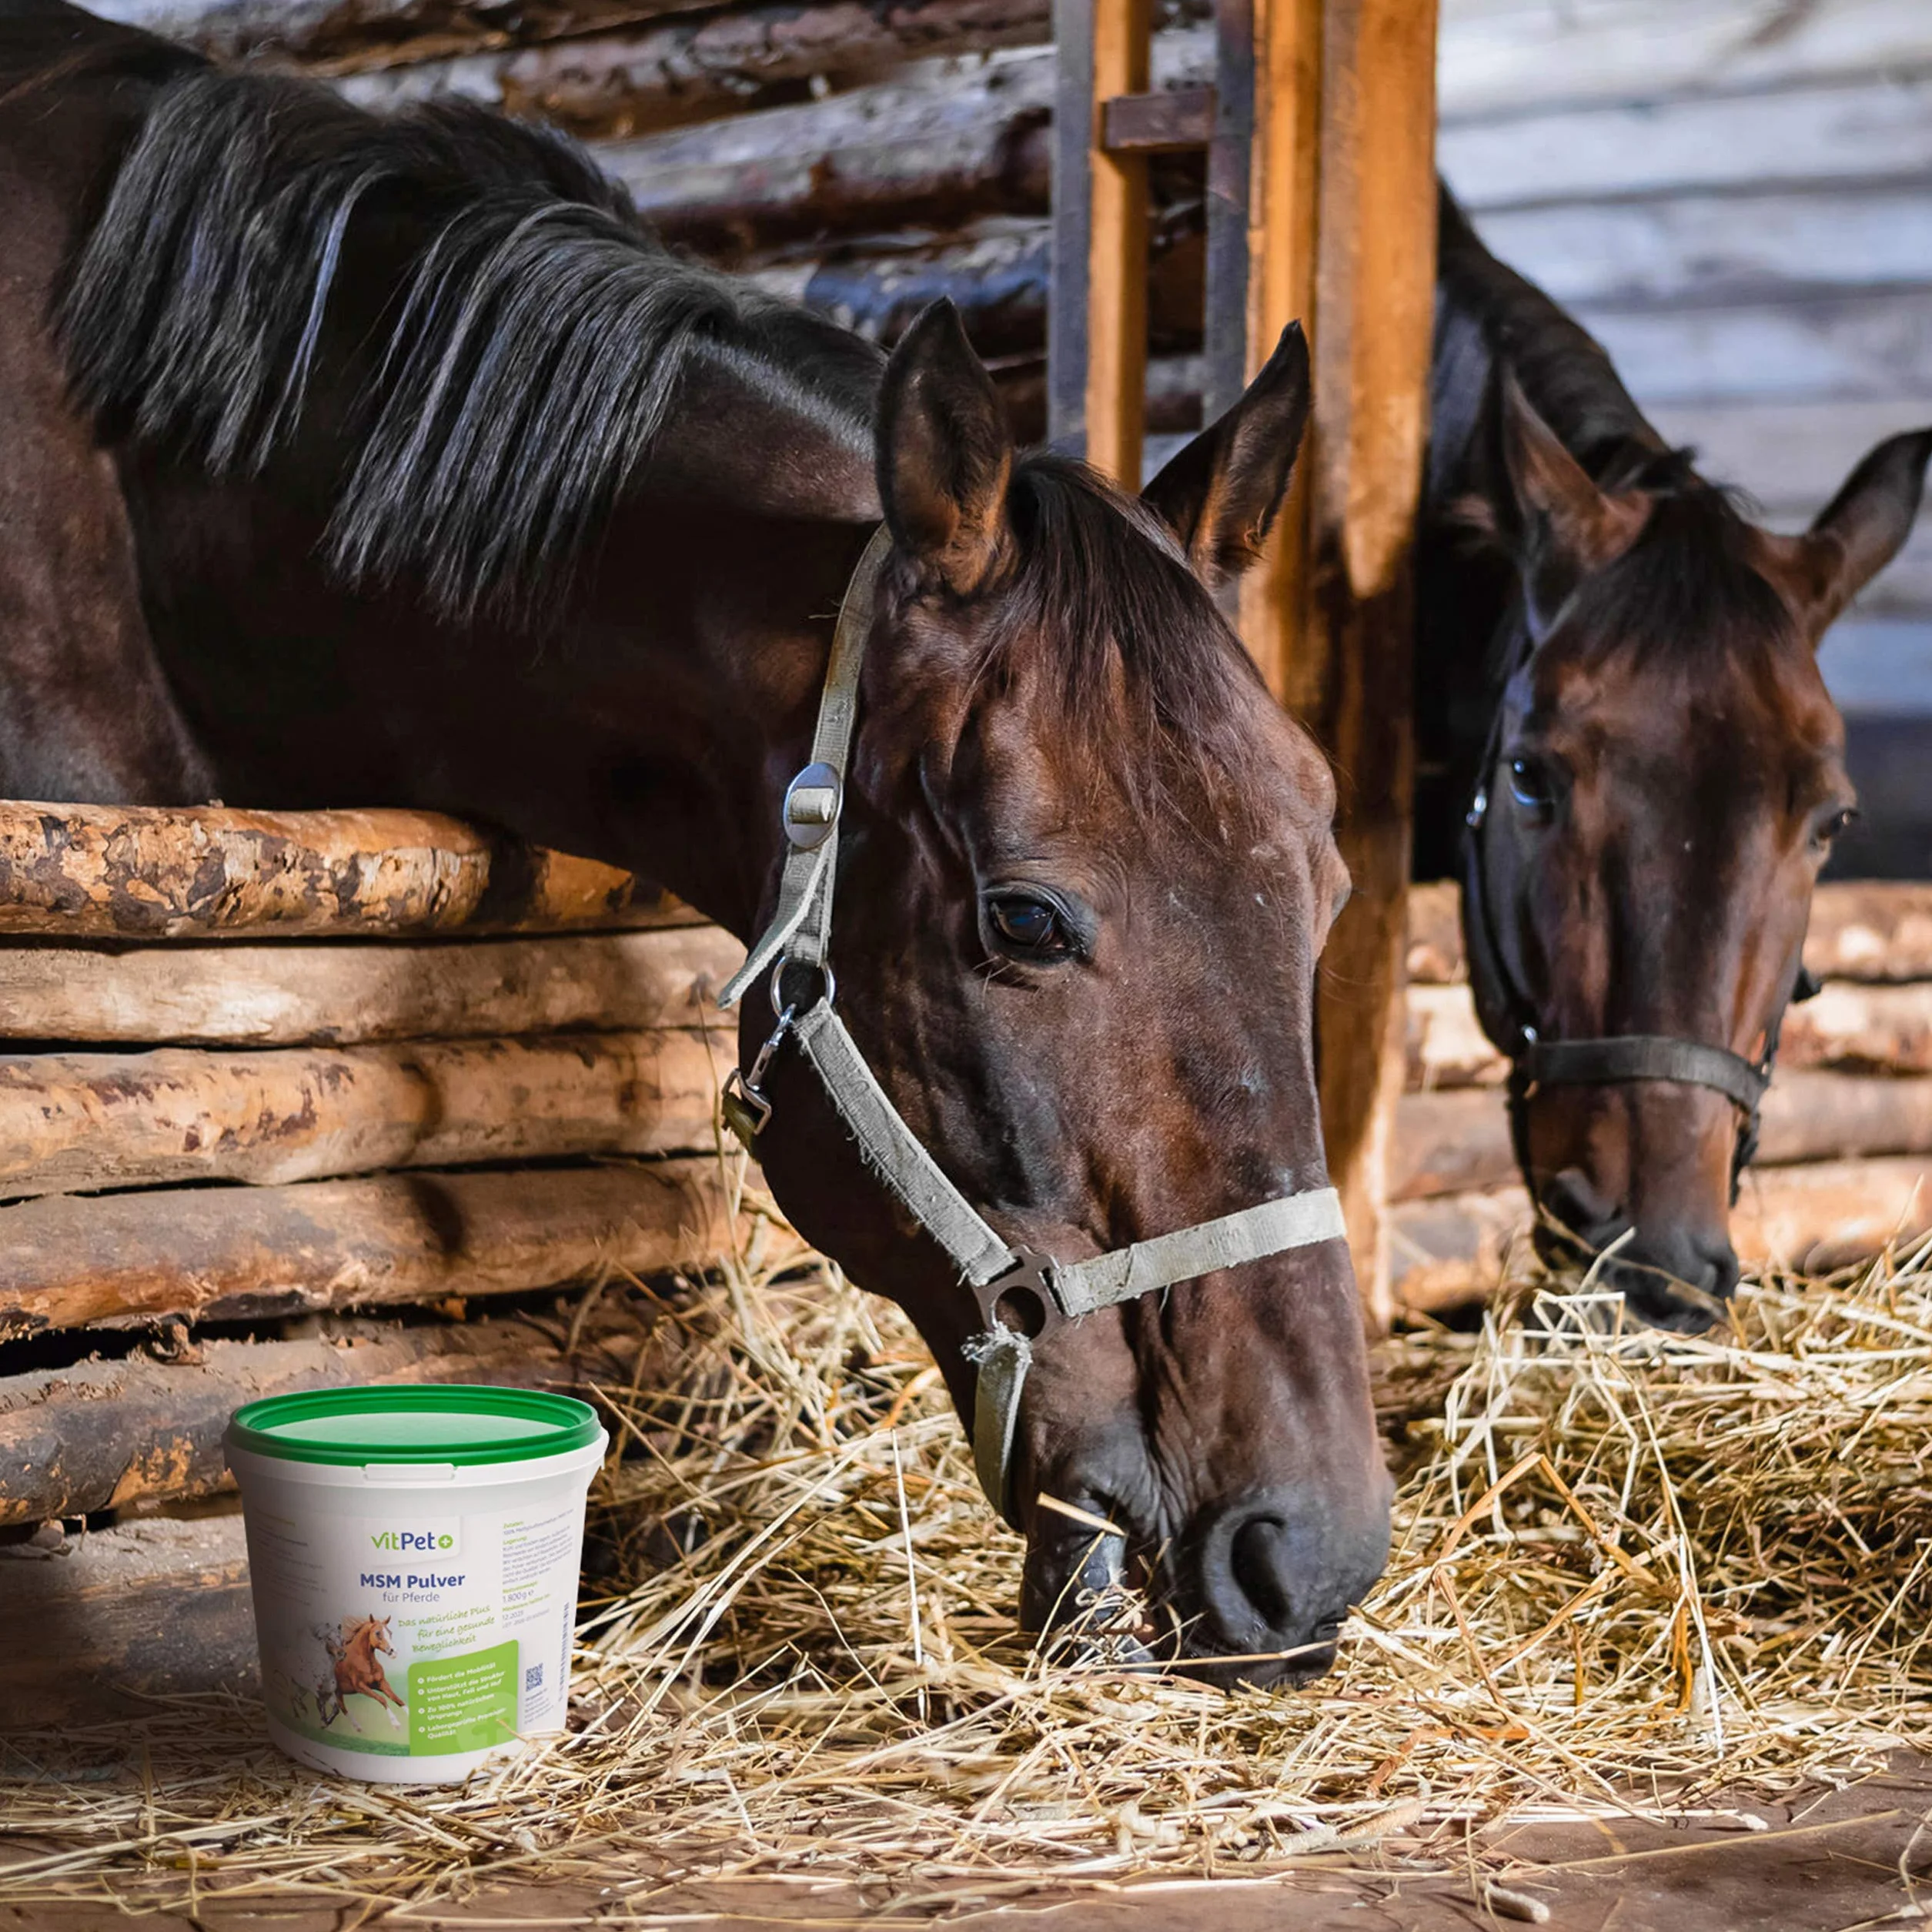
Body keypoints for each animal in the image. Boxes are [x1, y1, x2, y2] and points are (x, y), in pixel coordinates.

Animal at [317, 1616, 405, 1731]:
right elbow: (382, 1699)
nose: (393, 1652)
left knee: (341, 1707)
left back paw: (356, 1727)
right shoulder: (361, 1687)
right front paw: (396, 1723)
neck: (365, 1662)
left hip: (338, 1692)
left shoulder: (381, 1683)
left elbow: (398, 1700)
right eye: (377, 1633)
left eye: (390, 1632)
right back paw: (325, 1723)